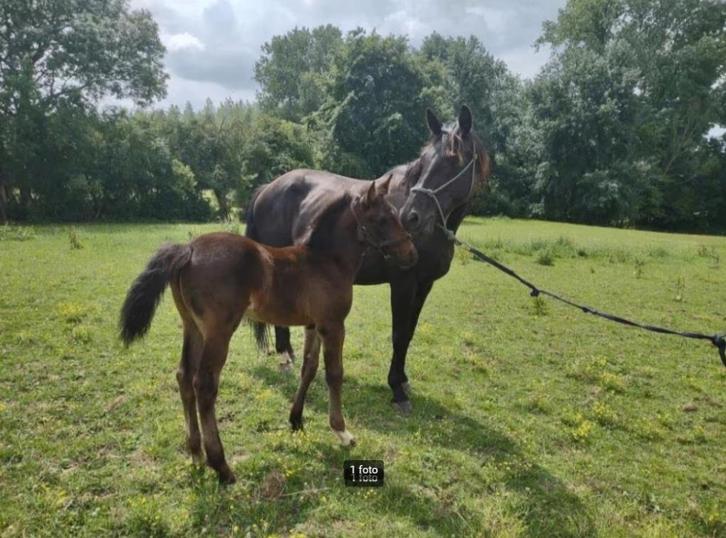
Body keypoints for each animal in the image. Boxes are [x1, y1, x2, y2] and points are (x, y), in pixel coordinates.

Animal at [119, 178, 417, 484]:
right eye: (382, 218)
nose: (411, 254)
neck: (326, 261)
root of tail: (187, 250)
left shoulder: (313, 325)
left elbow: (308, 368)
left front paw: (296, 420)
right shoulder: (333, 325)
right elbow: (334, 374)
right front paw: (342, 432)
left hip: (193, 327)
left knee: (183, 377)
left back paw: (196, 454)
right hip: (218, 331)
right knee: (204, 385)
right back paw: (221, 466)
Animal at [245, 105, 490, 413]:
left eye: (454, 160)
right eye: (423, 161)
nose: (410, 216)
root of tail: (267, 188)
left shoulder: (424, 285)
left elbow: (409, 332)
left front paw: (403, 380)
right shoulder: (403, 283)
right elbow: (399, 333)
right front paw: (396, 389)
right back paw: (286, 358)